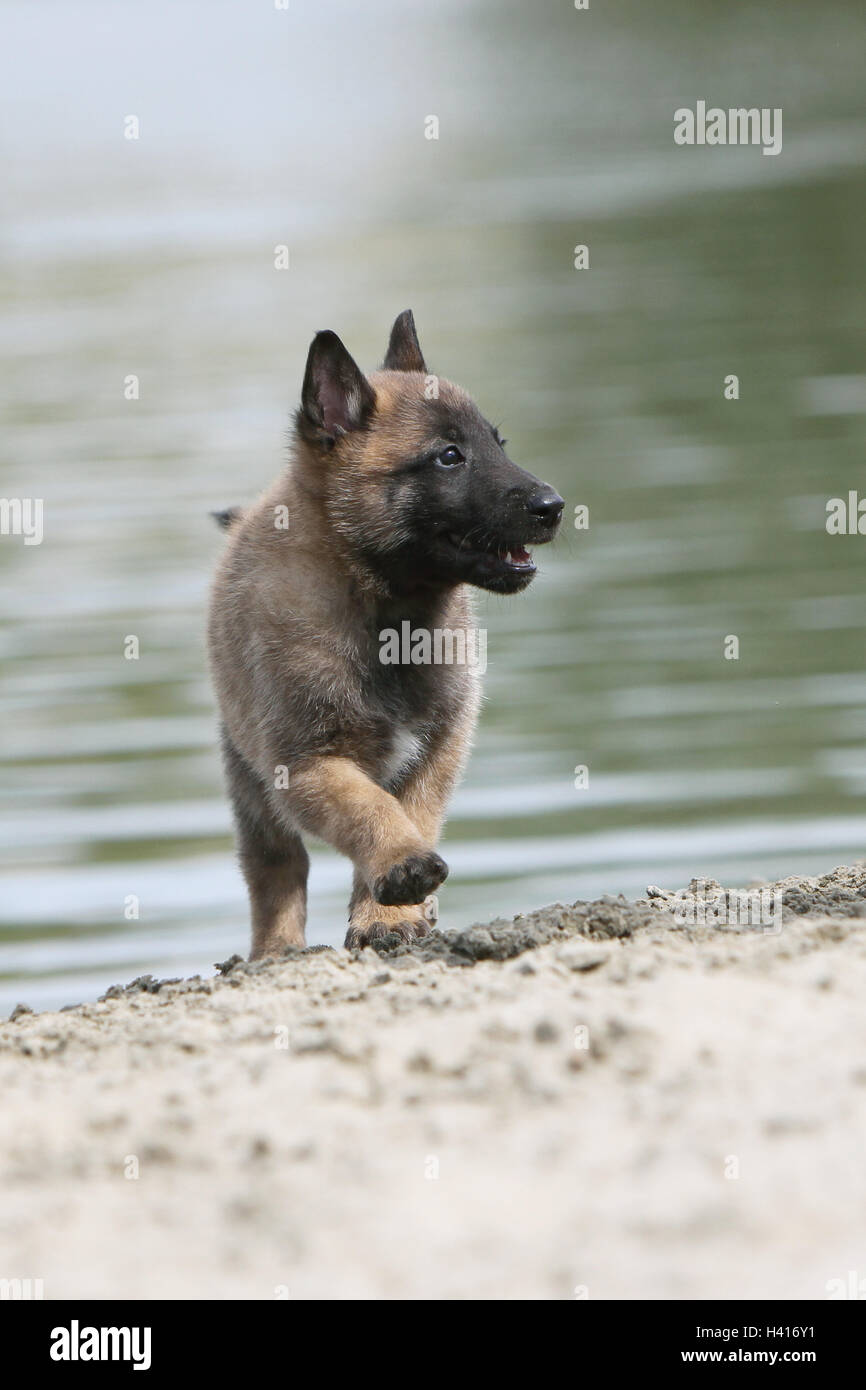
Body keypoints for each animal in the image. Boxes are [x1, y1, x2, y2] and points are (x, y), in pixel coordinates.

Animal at [208, 312, 561, 956]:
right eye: (449, 457)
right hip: (249, 785)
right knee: (276, 869)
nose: (554, 505)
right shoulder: (307, 763)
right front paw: (401, 868)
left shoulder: (440, 744)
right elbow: (368, 808)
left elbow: (413, 810)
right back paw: (275, 949)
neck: (388, 618)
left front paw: (387, 915)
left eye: (498, 445)